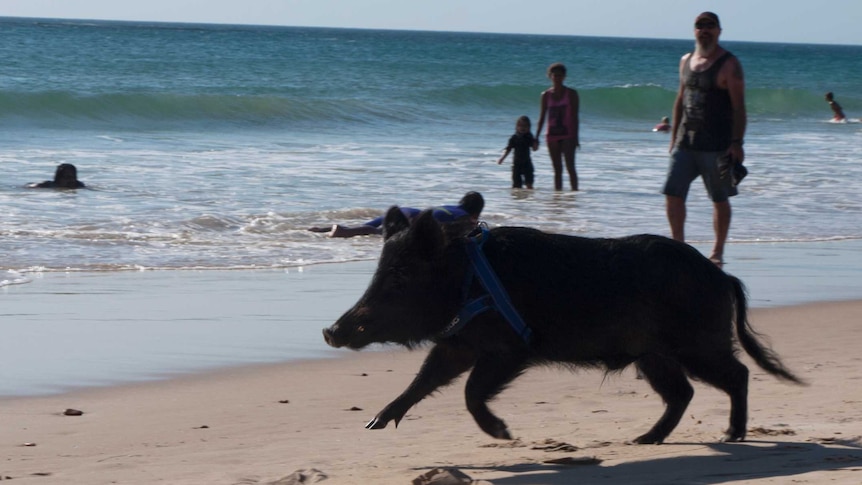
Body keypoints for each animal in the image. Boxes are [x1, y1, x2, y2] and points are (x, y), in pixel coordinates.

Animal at [322, 208, 804, 442]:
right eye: (379, 271)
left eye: (399, 277)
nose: (331, 331)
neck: (466, 281)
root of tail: (723, 278)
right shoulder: (459, 344)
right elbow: (424, 379)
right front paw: (374, 425)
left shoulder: (511, 349)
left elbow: (470, 391)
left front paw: (504, 434)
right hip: (653, 355)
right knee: (682, 393)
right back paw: (642, 441)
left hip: (696, 344)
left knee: (737, 374)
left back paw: (731, 435)